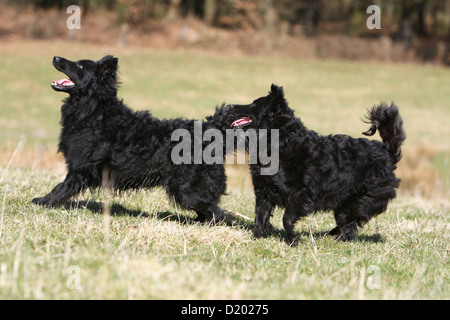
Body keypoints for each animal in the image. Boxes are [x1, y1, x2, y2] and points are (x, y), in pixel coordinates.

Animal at [32, 55, 234, 224]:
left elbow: (61, 188)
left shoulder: (79, 169)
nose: (55, 57)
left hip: (185, 189)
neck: (94, 114)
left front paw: (44, 201)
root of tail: (212, 130)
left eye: (80, 66)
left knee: (216, 213)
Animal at [227, 84, 406, 245]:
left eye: (253, 104)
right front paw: (256, 239)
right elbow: (260, 217)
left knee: (350, 224)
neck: (282, 141)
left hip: (359, 202)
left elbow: (287, 218)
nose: (229, 106)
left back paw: (336, 239)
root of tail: (387, 152)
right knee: (347, 224)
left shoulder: (300, 194)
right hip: (345, 205)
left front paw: (293, 239)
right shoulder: (263, 191)